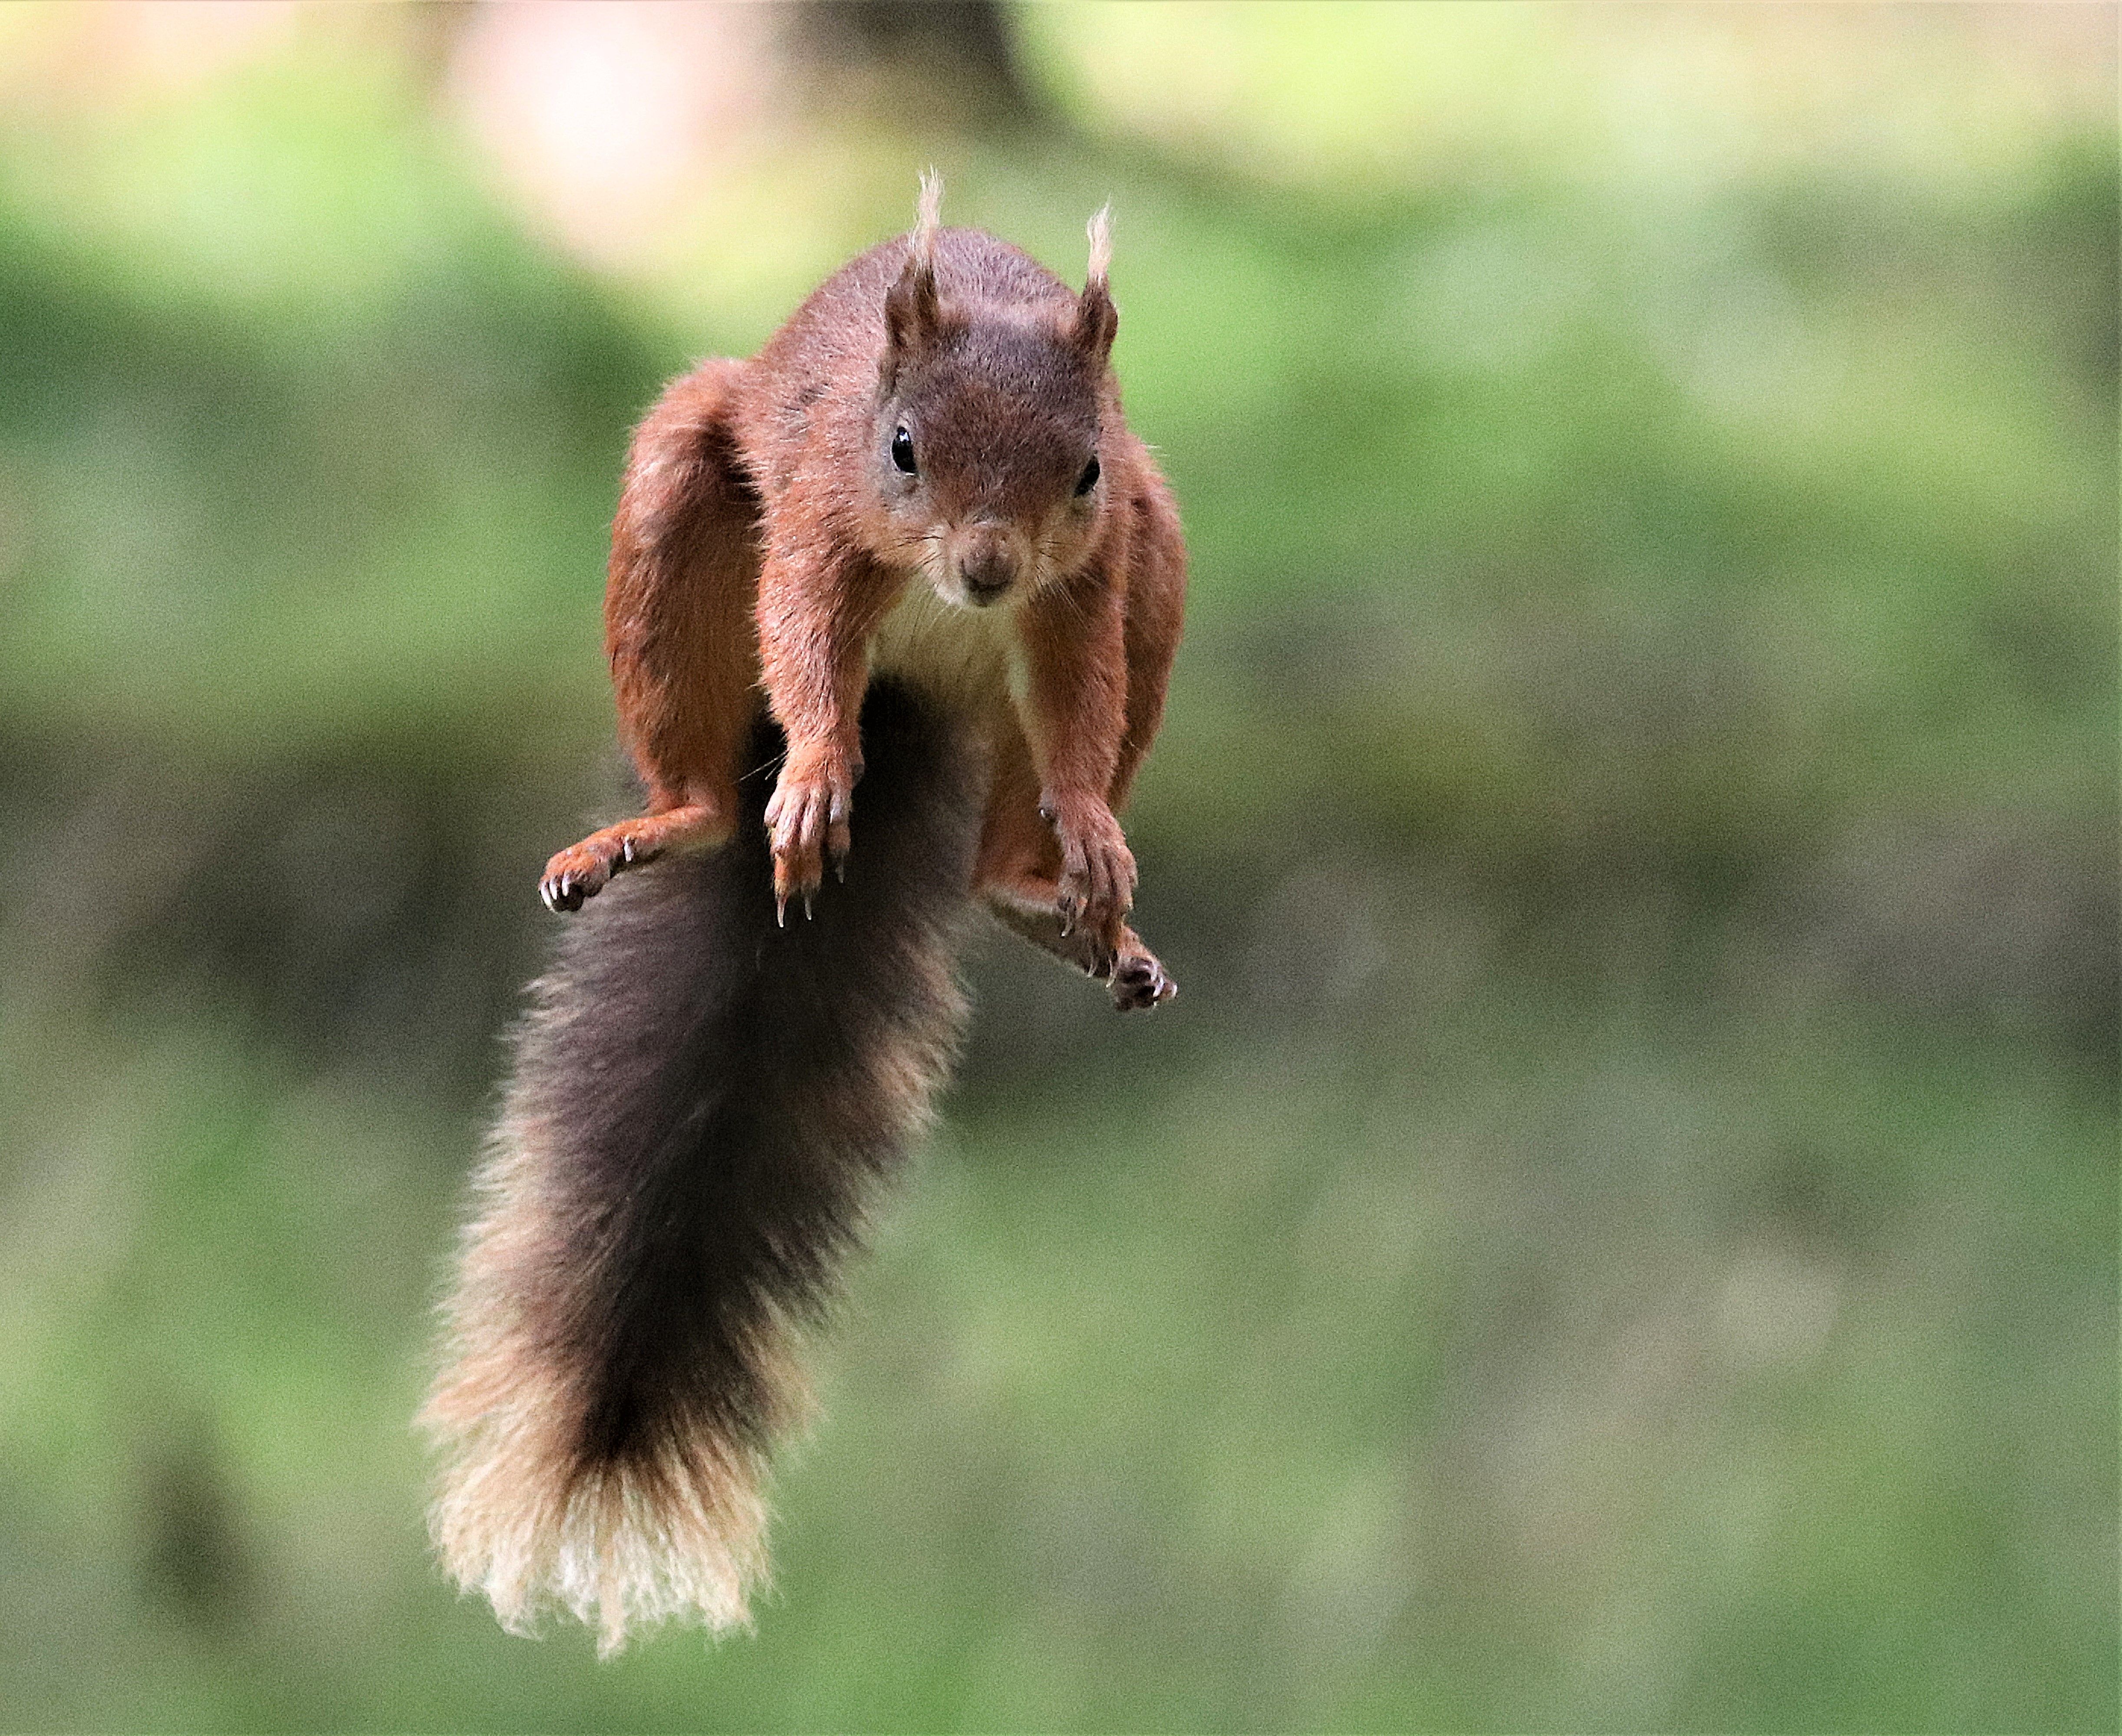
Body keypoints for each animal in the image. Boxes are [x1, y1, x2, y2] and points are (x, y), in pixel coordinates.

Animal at [419, 177, 1187, 1654]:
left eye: (1079, 470)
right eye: (901, 447)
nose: (989, 565)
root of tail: (934, 679)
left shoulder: (1095, 568)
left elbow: (1081, 700)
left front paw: (1091, 823)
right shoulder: (823, 516)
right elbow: (807, 635)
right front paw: (824, 767)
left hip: (1163, 547)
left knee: (1022, 822)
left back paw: (1043, 888)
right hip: (681, 486)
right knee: (713, 754)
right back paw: (678, 820)